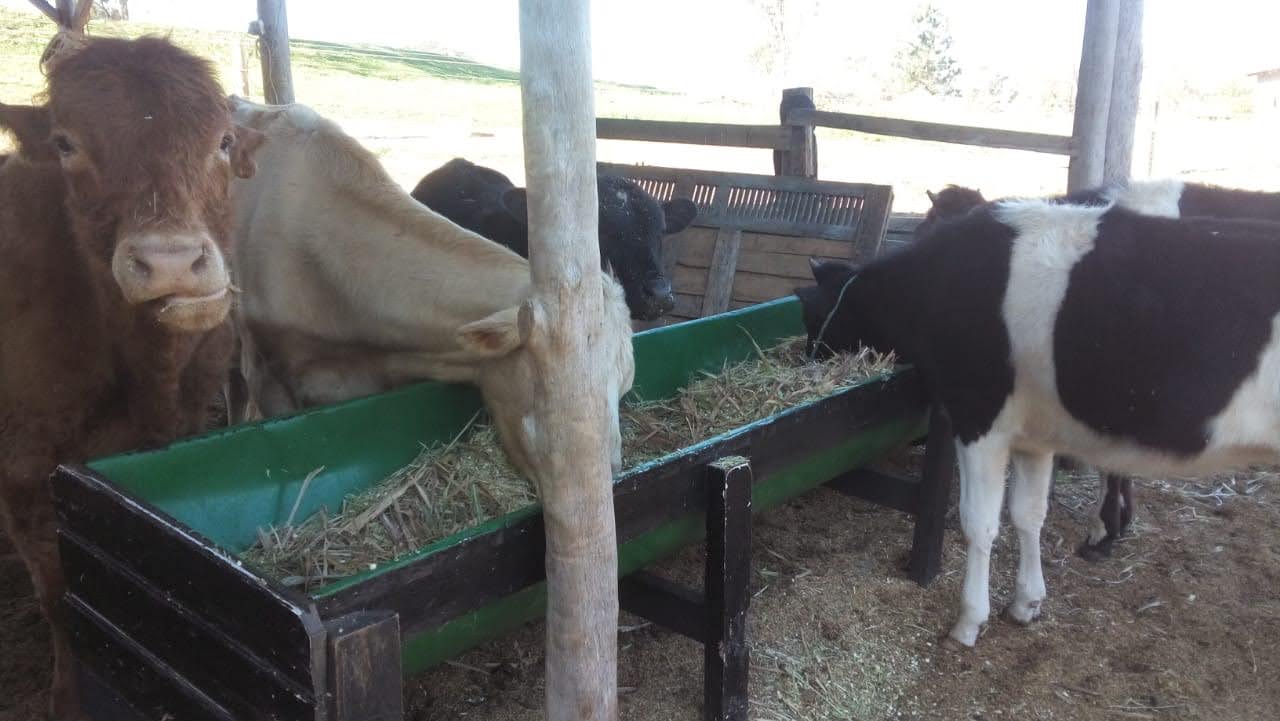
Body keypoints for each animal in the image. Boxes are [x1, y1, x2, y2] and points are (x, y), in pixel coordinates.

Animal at [0, 35, 264, 721]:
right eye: (65, 144)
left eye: (223, 141)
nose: (170, 263)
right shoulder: (21, 472)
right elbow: (58, 595)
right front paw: (70, 697)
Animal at [793, 195, 1280, 648]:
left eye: (813, 318)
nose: (809, 363)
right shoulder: (1035, 432)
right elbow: (1028, 514)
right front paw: (1027, 601)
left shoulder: (979, 418)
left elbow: (979, 522)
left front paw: (969, 621)